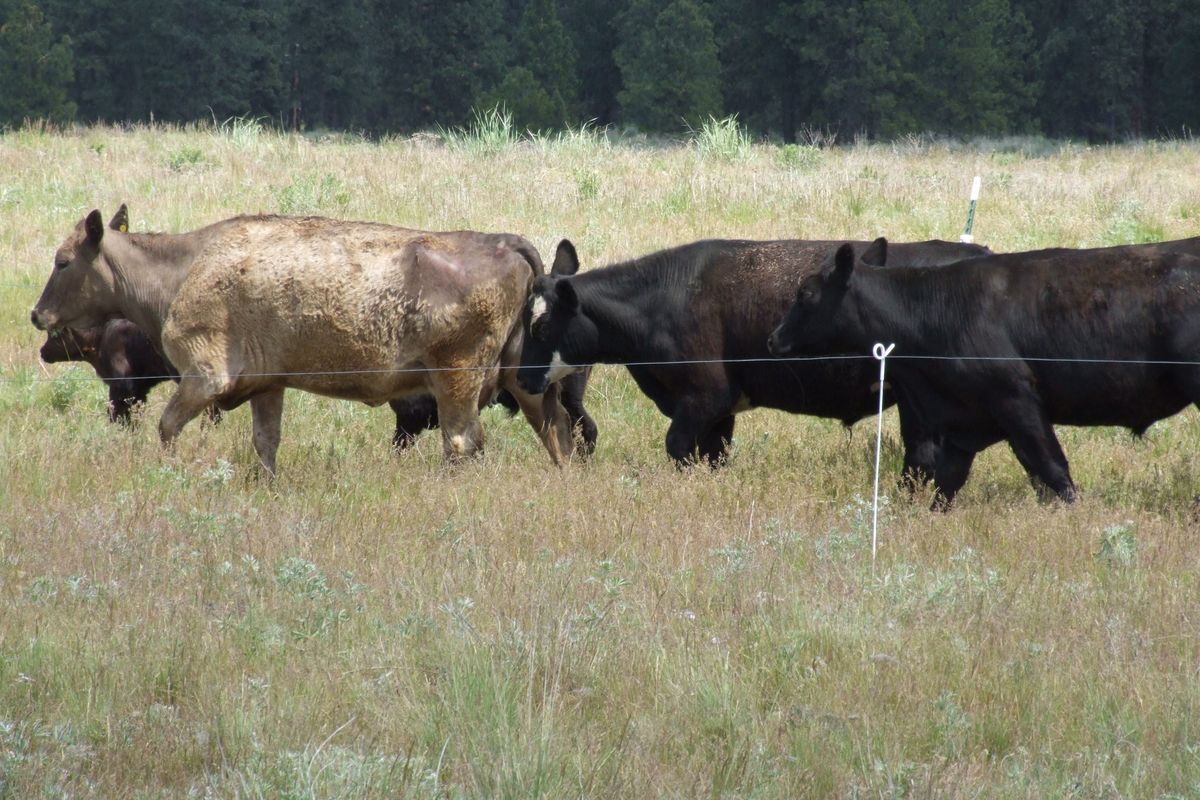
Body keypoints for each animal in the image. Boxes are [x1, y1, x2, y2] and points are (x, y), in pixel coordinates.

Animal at [32, 208, 577, 475]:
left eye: (63, 261)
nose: (38, 315)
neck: (182, 268)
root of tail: (504, 242)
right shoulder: (267, 384)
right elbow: (265, 442)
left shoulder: (203, 379)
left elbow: (167, 427)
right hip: (524, 382)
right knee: (557, 431)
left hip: (456, 379)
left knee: (461, 440)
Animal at [515, 237, 987, 467]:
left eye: (541, 326)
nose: (519, 377)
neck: (660, 301)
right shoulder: (720, 412)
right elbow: (715, 457)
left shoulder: (706, 397)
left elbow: (678, 448)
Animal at [767, 239, 1200, 505]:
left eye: (806, 293)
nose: (773, 338)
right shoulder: (966, 422)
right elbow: (945, 486)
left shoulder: (1016, 401)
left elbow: (1052, 473)